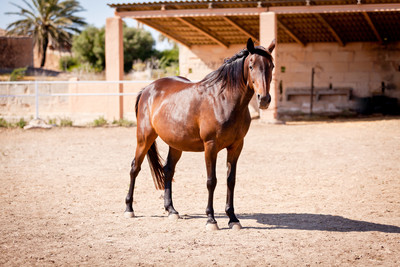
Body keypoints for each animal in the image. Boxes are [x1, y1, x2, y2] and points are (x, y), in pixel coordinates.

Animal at [125, 38, 276, 230]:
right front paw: (211, 219)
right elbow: (211, 181)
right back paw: (129, 208)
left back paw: (171, 210)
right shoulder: (210, 146)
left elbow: (231, 180)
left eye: (271, 65)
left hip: (176, 144)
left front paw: (233, 218)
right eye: (251, 66)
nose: (264, 99)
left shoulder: (236, 146)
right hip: (144, 138)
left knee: (168, 170)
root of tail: (148, 89)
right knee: (134, 168)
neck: (223, 100)